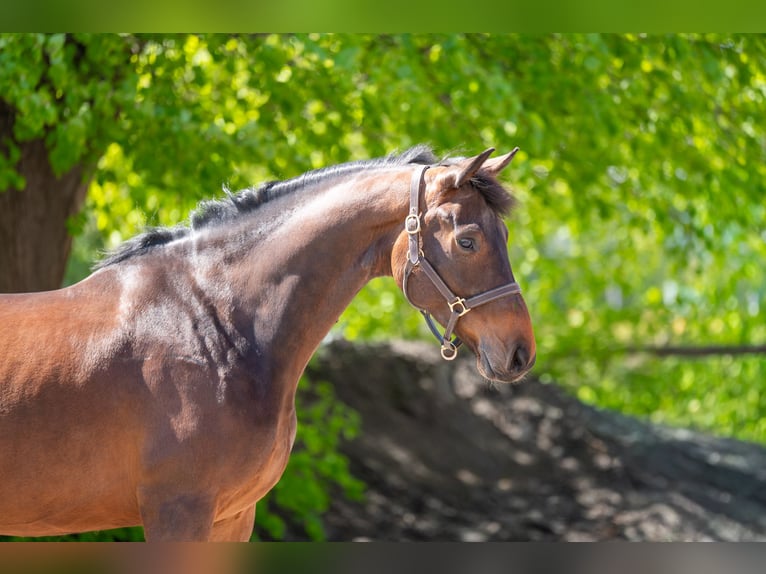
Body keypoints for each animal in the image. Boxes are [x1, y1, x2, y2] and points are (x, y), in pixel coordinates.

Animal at [0, 145, 535, 541]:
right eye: (467, 241)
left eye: (505, 234)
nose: (520, 351)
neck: (212, 326)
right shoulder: (178, 513)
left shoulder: (232, 517)